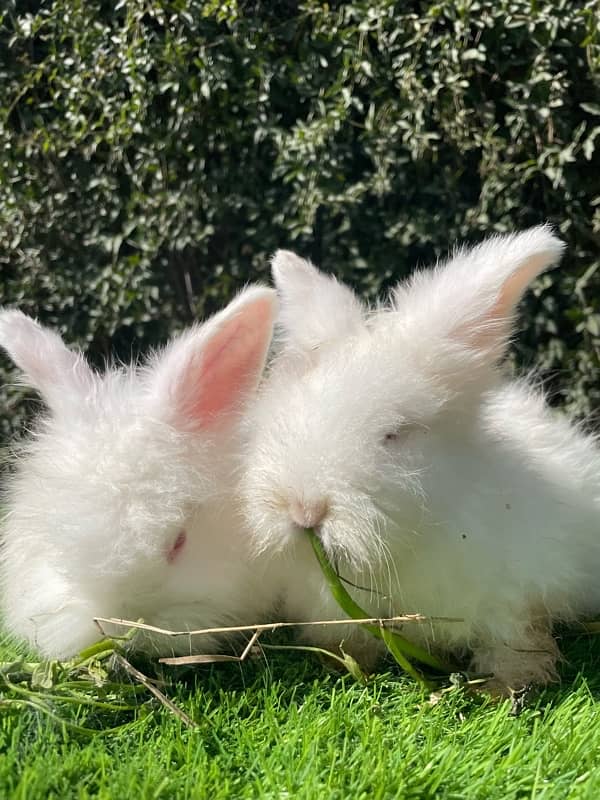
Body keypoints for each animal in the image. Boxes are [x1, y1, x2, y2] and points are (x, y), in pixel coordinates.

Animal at [241, 227, 600, 692]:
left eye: (395, 433)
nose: (304, 511)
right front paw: (347, 661)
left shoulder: (515, 599)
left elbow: (515, 641)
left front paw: (507, 686)